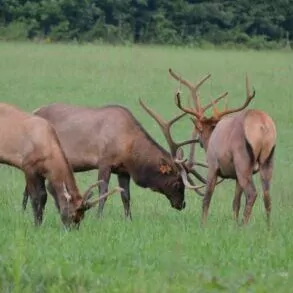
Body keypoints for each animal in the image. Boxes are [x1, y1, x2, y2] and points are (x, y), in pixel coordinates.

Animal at [22, 101, 205, 218]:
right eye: (177, 183)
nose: (182, 204)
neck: (129, 148)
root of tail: (34, 111)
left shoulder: (123, 170)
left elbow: (126, 196)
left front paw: (128, 219)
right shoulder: (105, 162)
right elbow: (104, 192)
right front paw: (98, 217)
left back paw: (24, 212)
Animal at [169, 68, 276, 226]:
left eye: (200, 129)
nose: (200, 141)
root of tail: (263, 125)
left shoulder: (213, 166)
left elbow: (206, 198)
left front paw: (203, 225)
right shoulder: (236, 177)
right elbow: (235, 203)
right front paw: (234, 224)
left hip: (243, 162)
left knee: (252, 193)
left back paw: (245, 226)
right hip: (267, 160)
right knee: (267, 196)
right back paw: (268, 228)